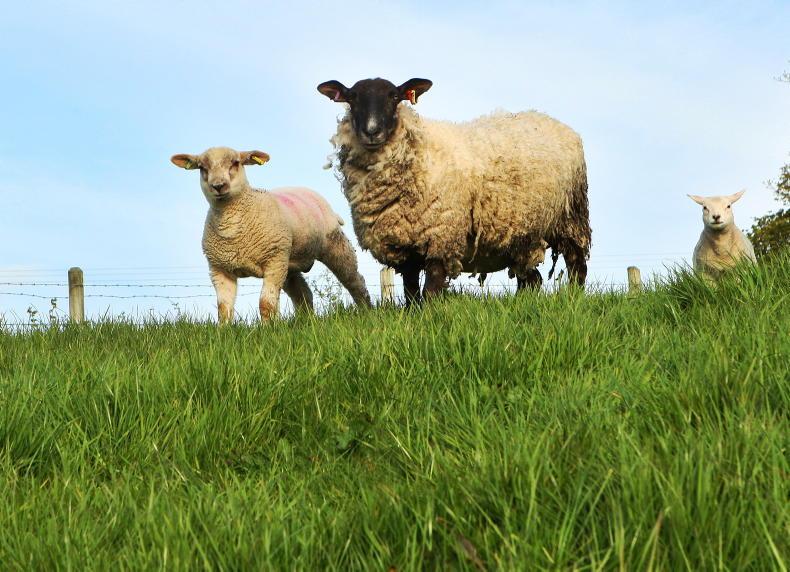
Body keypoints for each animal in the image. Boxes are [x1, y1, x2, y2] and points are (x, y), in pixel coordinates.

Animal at [171, 146, 371, 323]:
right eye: (202, 168)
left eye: (235, 162)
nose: (218, 186)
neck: (232, 226)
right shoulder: (219, 269)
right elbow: (223, 309)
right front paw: (223, 332)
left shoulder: (273, 261)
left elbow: (265, 304)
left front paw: (268, 329)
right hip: (288, 262)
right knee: (303, 293)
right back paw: (306, 322)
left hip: (332, 246)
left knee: (354, 280)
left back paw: (366, 310)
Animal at [317, 77, 591, 303]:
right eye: (352, 97)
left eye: (394, 96)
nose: (372, 131)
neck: (419, 151)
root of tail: (556, 123)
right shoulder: (406, 249)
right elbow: (410, 292)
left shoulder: (442, 235)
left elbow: (430, 292)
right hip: (521, 233)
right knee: (531, 279)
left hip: (569, 218)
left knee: (577, 264)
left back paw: (573, 298)